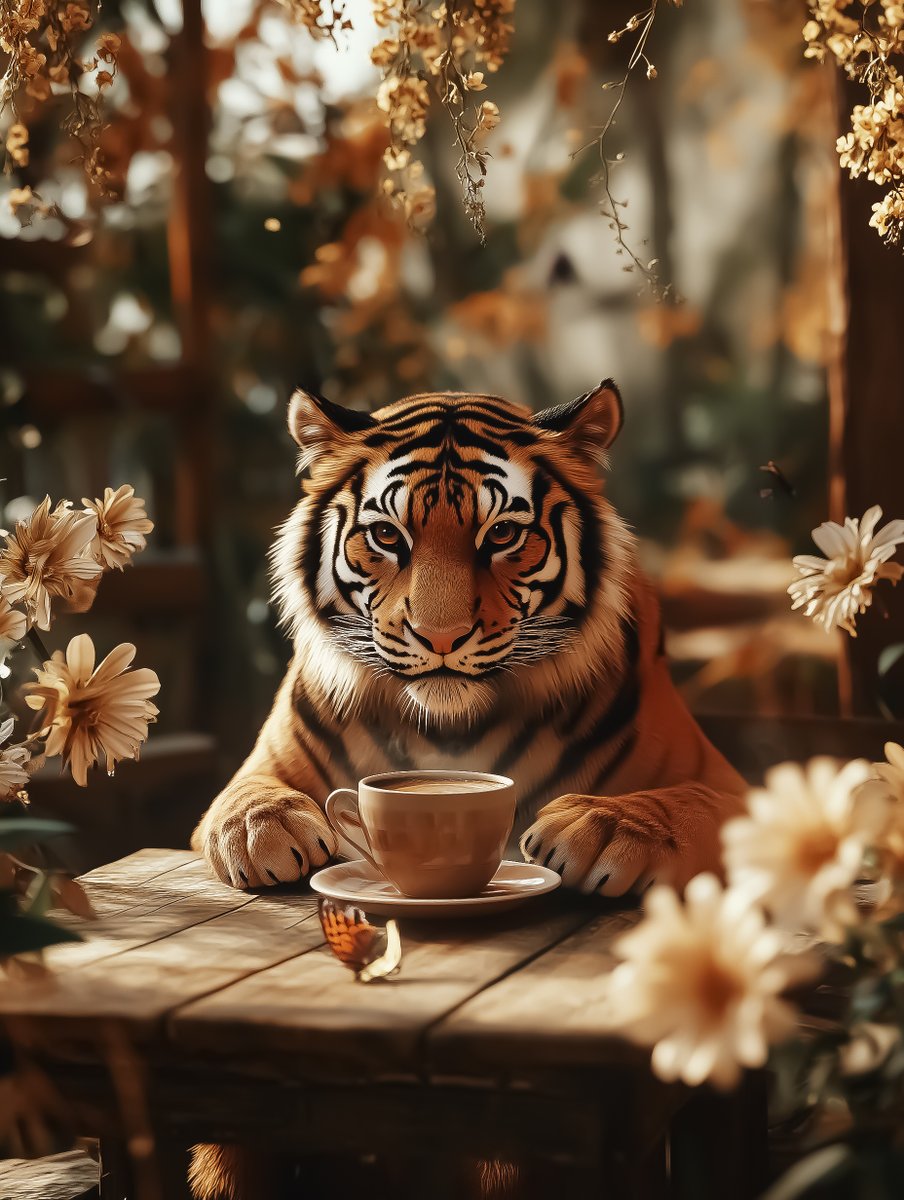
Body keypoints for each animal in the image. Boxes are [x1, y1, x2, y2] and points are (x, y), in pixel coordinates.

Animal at [189, 382, 746, 1199]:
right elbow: (246, 797)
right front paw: (267, 832)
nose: (441, 637)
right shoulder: (259, 765)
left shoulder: (728, 786)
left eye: (504, 535)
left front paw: (600, 828)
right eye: (387, 537)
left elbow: (678, 803)